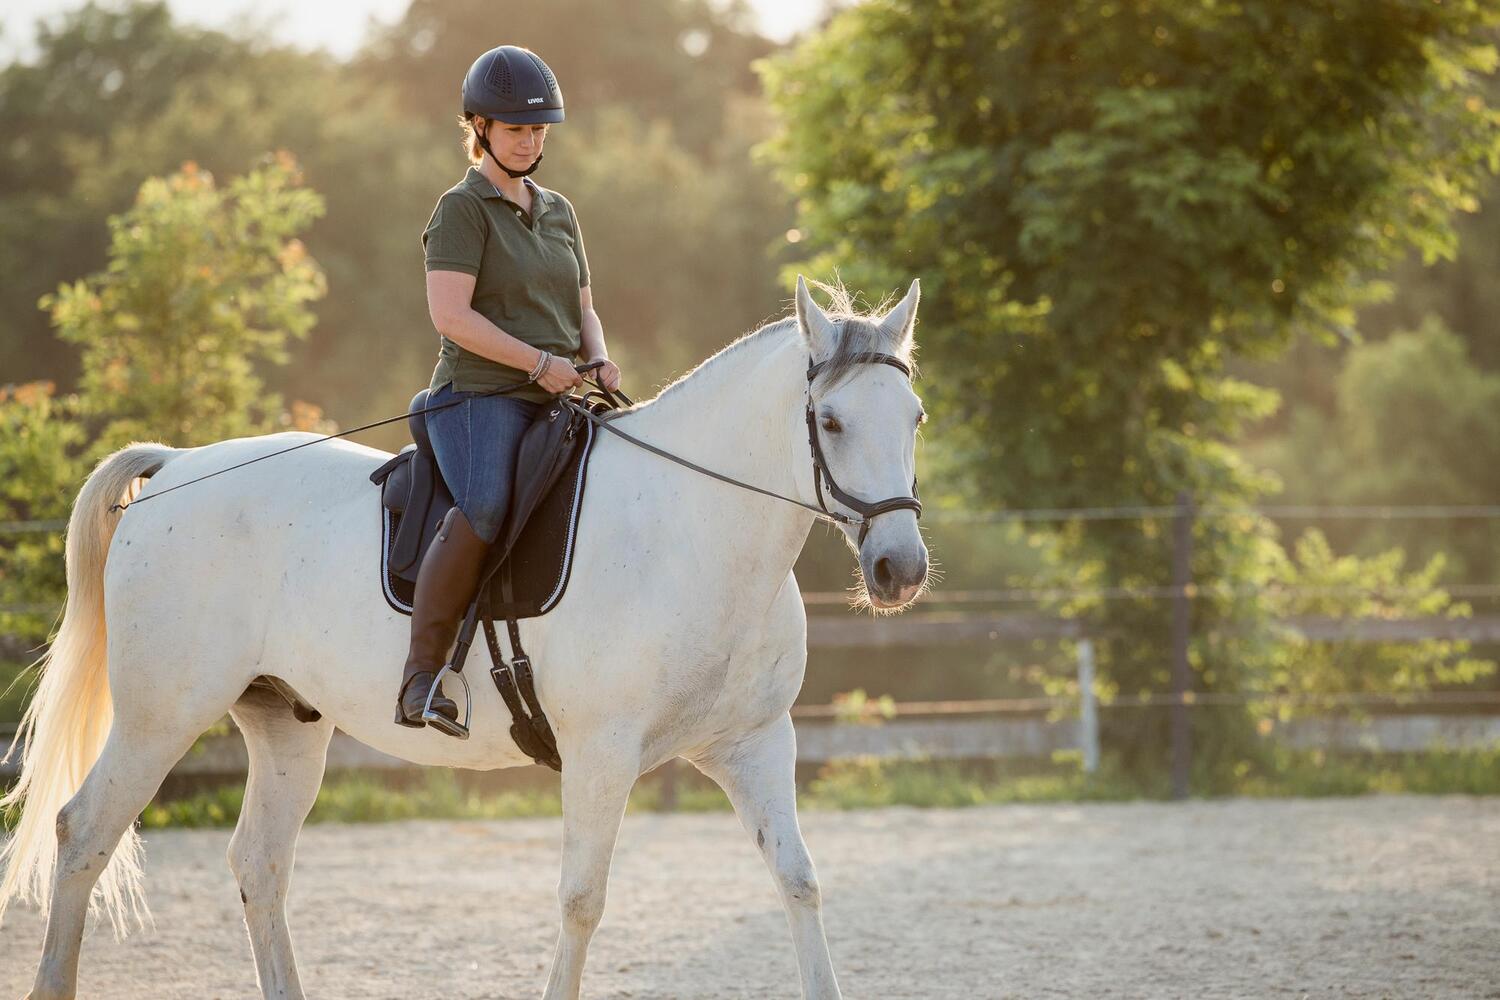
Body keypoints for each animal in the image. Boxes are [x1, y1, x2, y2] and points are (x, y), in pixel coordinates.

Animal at [0, 275, 924, 1000]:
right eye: (830, 422)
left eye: (914, 416)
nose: (899, 569)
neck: (691, 526)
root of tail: (180, 467)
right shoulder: (602, 753)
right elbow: (583, 898)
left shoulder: (755, 742)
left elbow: (799, 880)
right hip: (161, 716)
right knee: (83, 833)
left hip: (283, 722)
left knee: (257, 863)